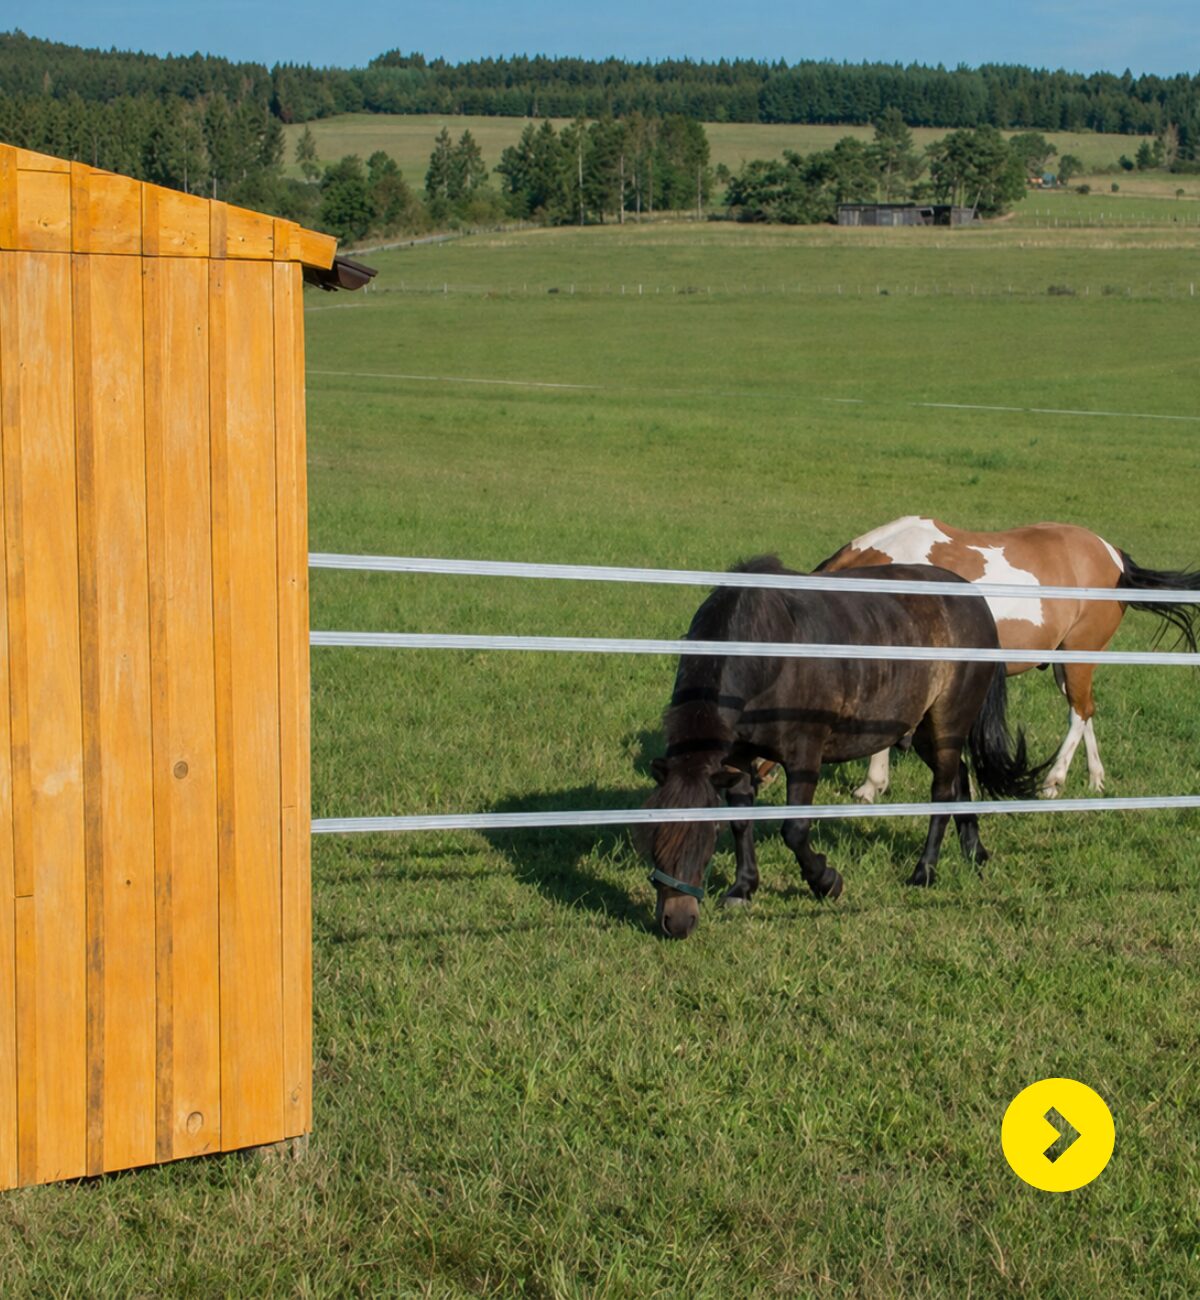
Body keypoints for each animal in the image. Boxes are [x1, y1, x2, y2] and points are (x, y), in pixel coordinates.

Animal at [639, 556, 1048, 940]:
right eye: (652, 836)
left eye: (706, 839)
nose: (677, 922)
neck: (764, 648)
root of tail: (976, 602)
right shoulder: (738, 755)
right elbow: (741, 820)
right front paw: (743, 887)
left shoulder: (805, 754)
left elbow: (795, 830)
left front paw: (826, 881)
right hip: (922, 730)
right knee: (960, 777)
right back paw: (973, 852)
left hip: (947, 721)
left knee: (942, 793)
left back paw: (924, 871)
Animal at [817, 517, 1200, 801]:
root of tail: (1114, 555)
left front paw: (872, 785)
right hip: (1063, 663)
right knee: (1085, 709)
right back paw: (1095, 779)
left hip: (1078, 656)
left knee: (1079, 712)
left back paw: (1053, 781)